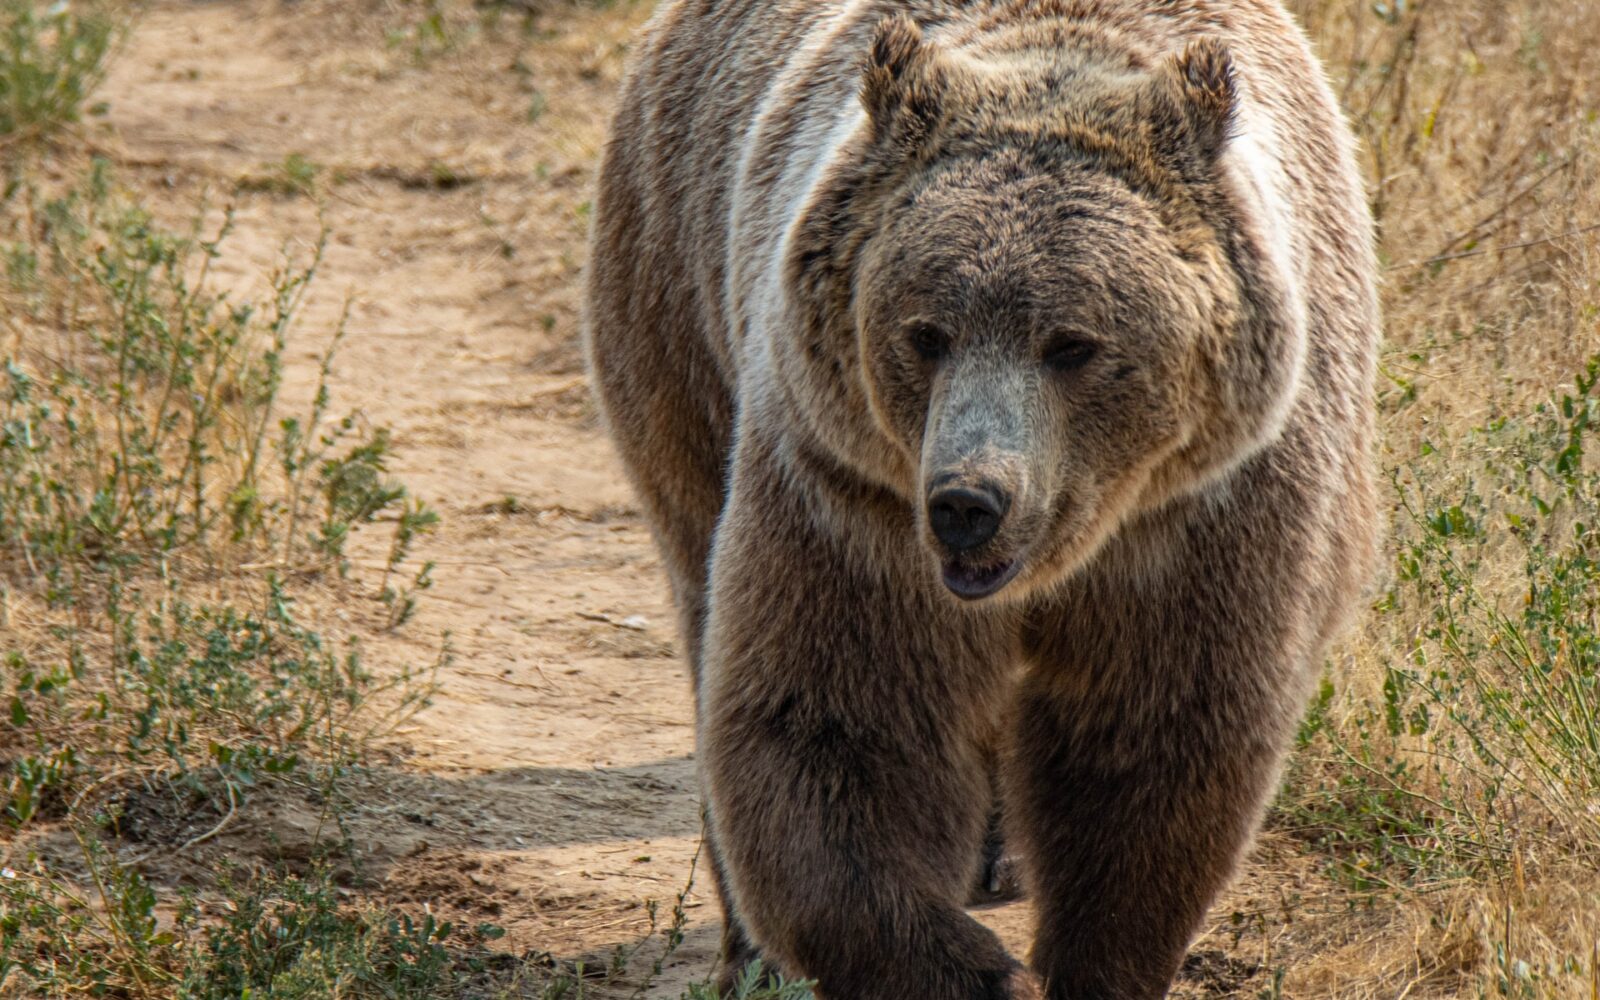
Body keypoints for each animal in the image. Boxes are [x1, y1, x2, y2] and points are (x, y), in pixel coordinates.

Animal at [585, 3, 1376, 992]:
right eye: (926, 332)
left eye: (1073, 343)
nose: (969, 502)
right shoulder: (852, 495)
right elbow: (838, 722)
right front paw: (971, 970)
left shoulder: (1212, 510)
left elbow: (1152, 737)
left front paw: (1093, 958)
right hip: (680, 301)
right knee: (700, 579)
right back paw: (754, 952)